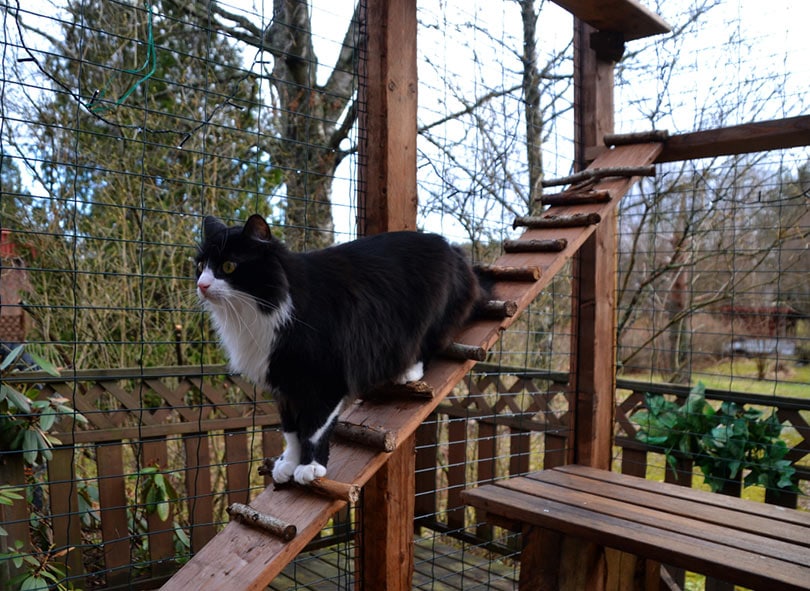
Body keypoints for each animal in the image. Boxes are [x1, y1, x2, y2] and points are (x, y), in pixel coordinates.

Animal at [197, 216, 486, 486]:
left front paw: (310, 468)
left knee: (427, 345)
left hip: (429, 318)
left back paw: (408, 372)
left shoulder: (327, 380)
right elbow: (291, 430)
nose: (201, 285)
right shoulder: (284, 386)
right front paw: (287, 464)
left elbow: (312, 429)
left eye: (228, 266)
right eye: (200, 266)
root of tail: (449, 246)